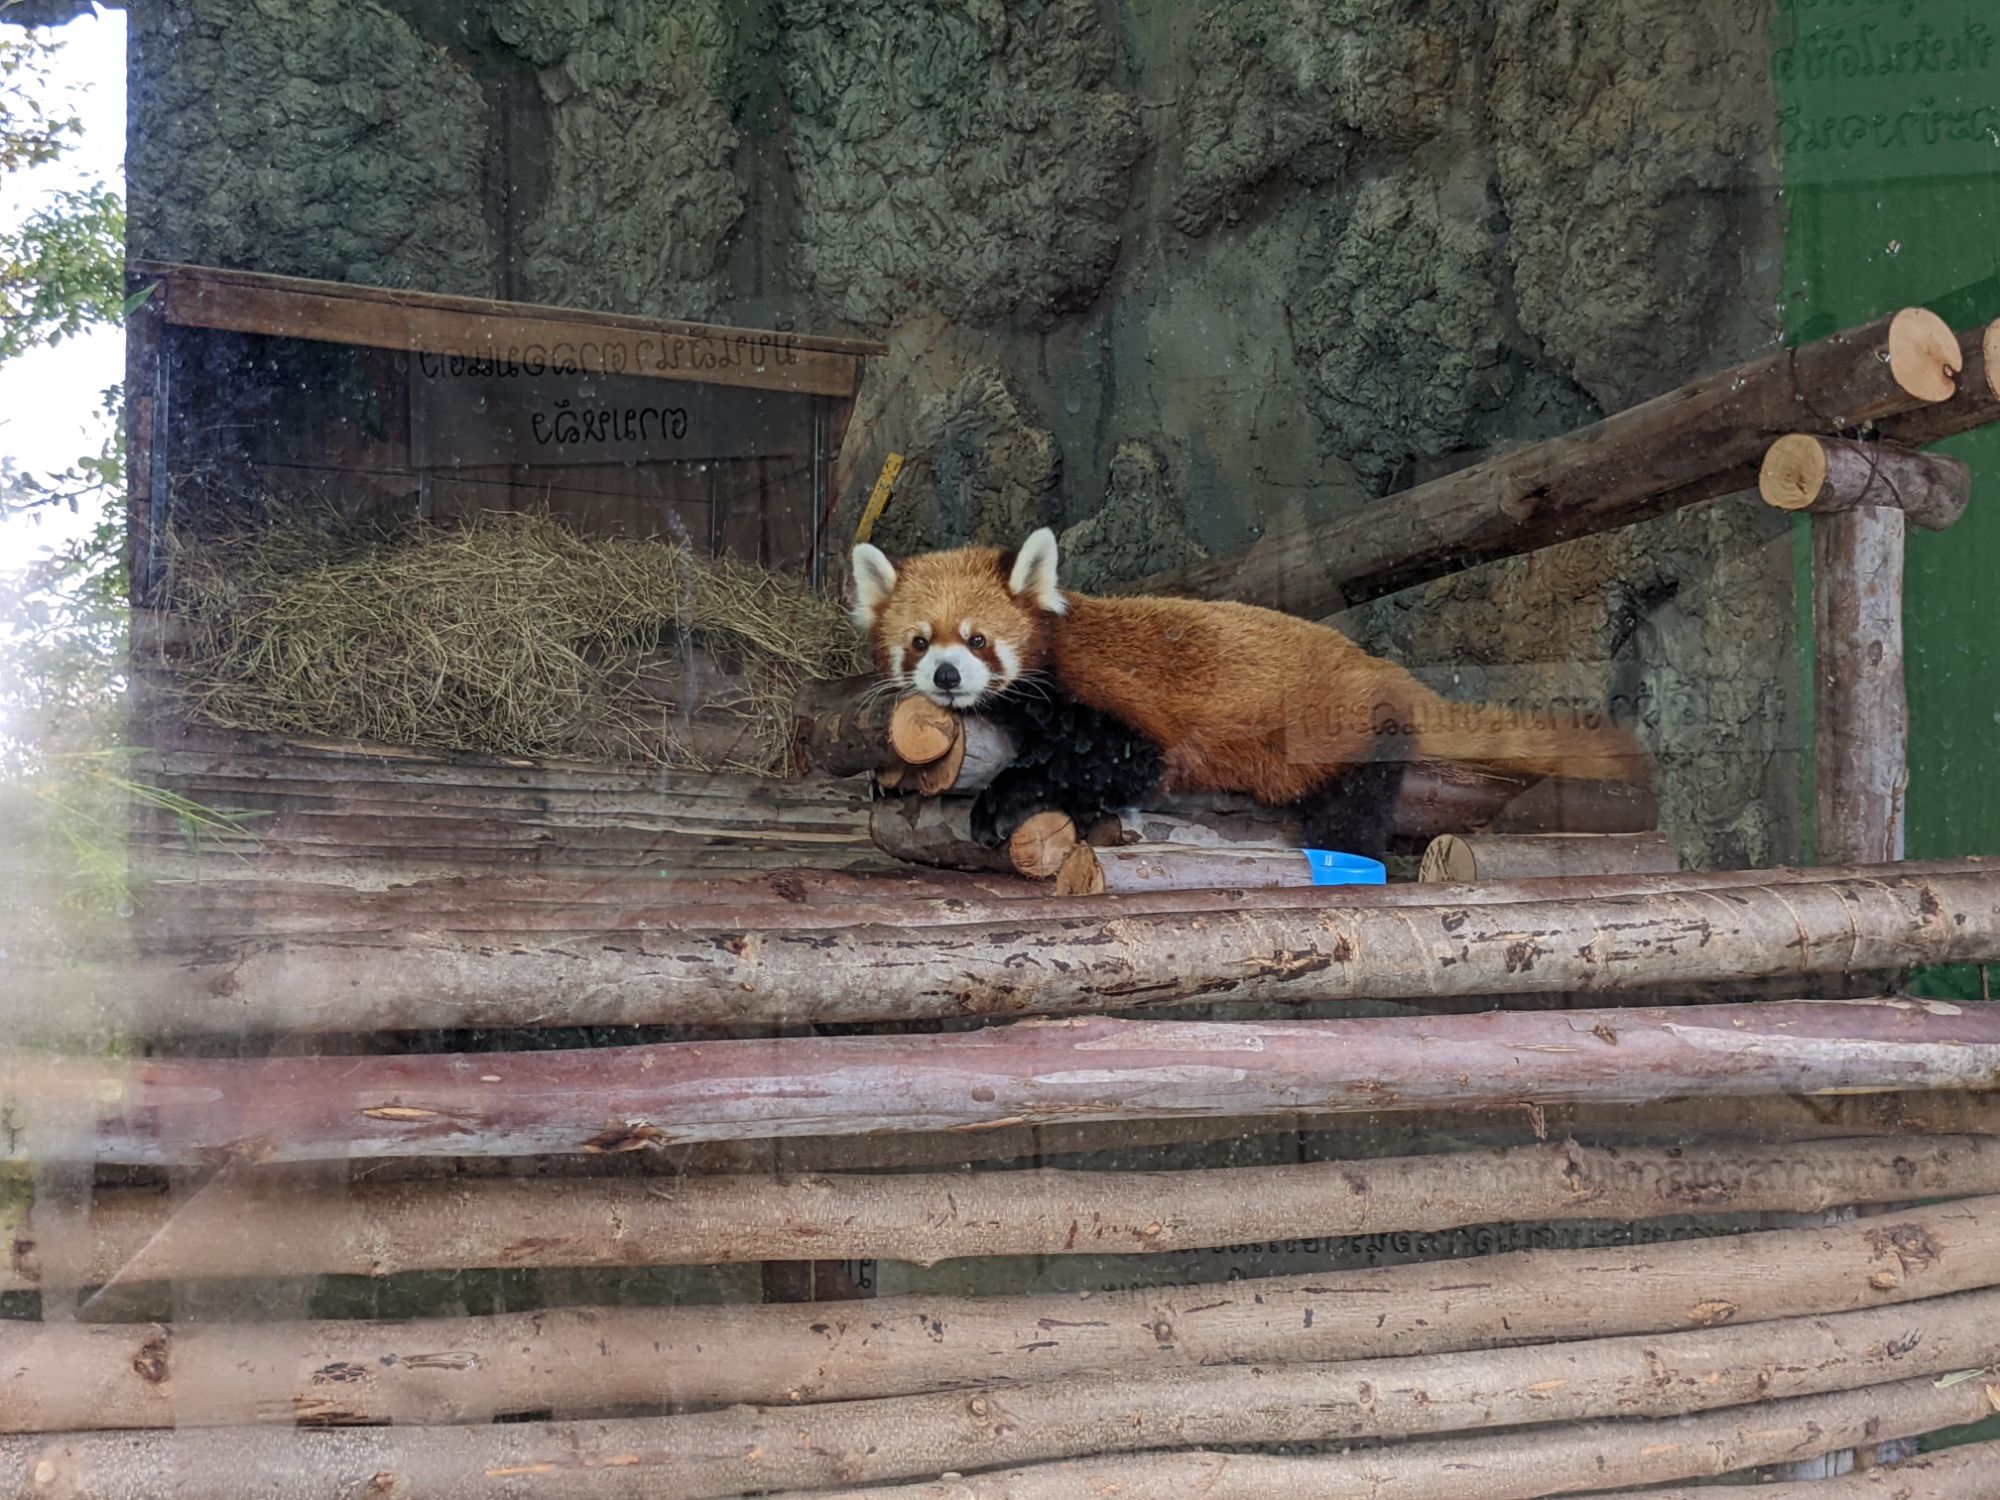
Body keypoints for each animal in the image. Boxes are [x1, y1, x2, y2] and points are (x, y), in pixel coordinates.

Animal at [852, 532, 1648, 856]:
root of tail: (1384, 668)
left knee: (1353, 808)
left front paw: (999, 806)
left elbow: (1117, 763)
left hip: (1344, 732)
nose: (947, 677)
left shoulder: (1103, 704)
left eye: (979, 639)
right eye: (920, 642)